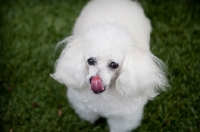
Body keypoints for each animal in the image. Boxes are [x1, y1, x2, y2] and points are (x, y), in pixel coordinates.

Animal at [50, 0, 168, 131]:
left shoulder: (124, 118)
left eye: (114, 64)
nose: (94, 79)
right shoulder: (84, 108)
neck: (103, 96)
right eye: (90, 61)